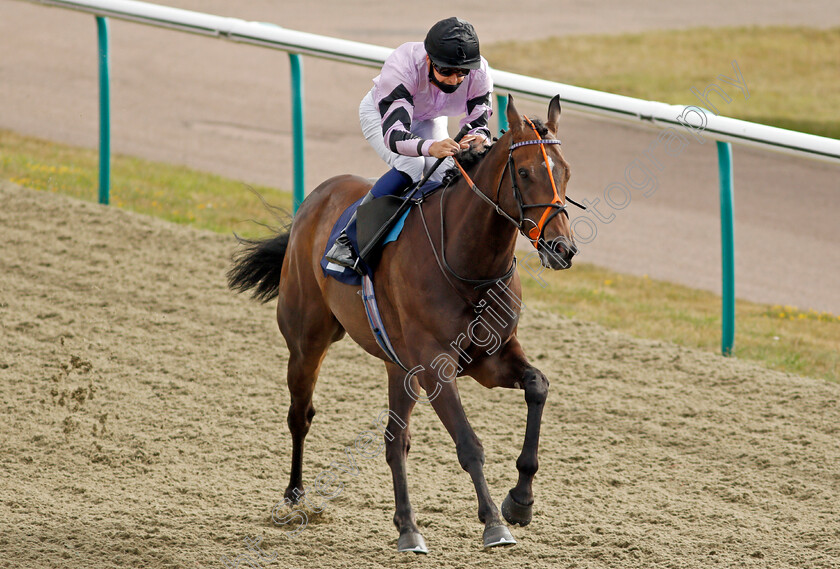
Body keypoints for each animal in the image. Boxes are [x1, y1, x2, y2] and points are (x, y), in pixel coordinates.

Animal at [226, 94, 576, 552]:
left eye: (566, 172)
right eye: (524, 172)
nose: (562, 248)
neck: (467, 261)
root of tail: (315, 198)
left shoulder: (490, 357)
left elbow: (538, 385)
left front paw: (520, 500)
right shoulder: (435, 365)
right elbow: (469, 443)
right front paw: (494, 523)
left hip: (399, 366)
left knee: (396, 441)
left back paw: (408, 527)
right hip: (307, 341)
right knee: (300, 415)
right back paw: (295, 499)